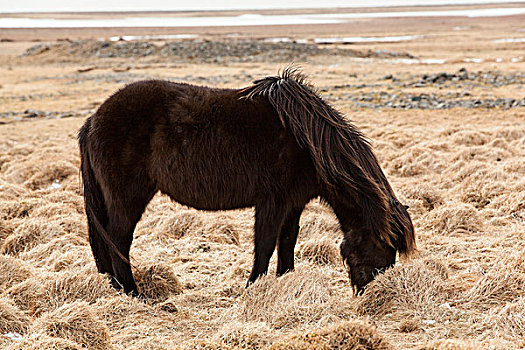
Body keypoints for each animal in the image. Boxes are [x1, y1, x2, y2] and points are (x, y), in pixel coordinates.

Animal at [78, 67, 416, 296]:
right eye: (381, 255)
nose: (367, 298)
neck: (307, 142)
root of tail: (93, 120)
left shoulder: (294, 203)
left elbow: (287, 241)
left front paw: (285, 280)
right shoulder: (272, 201)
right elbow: (265, 244)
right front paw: (253, 285)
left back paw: (113, 287)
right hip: (128, 198)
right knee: (118, 240)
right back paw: (131, 292)